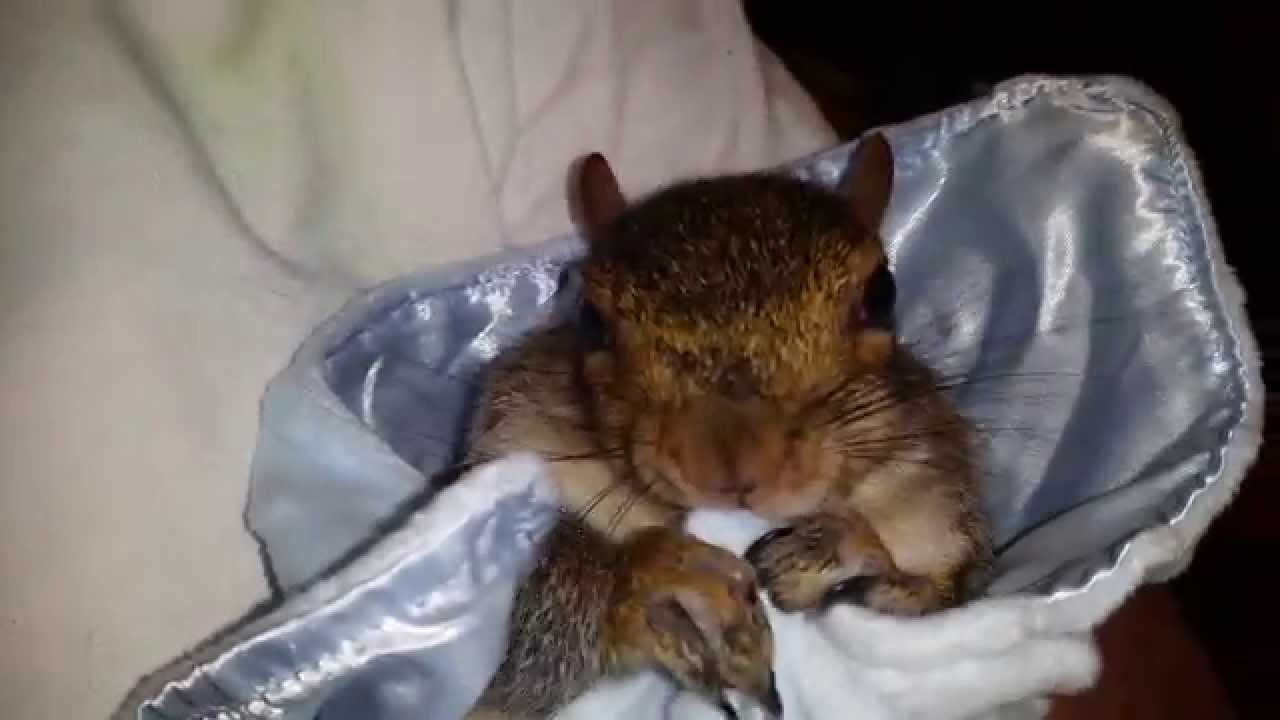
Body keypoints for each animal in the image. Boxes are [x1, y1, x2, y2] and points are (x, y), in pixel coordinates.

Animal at [462, 133, 992, 719]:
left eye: (882, 294)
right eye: (590, 317)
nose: (731, 465)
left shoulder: (937, 511)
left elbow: (942, 604)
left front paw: (841, 544)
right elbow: (524, 658)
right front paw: (654, 579)